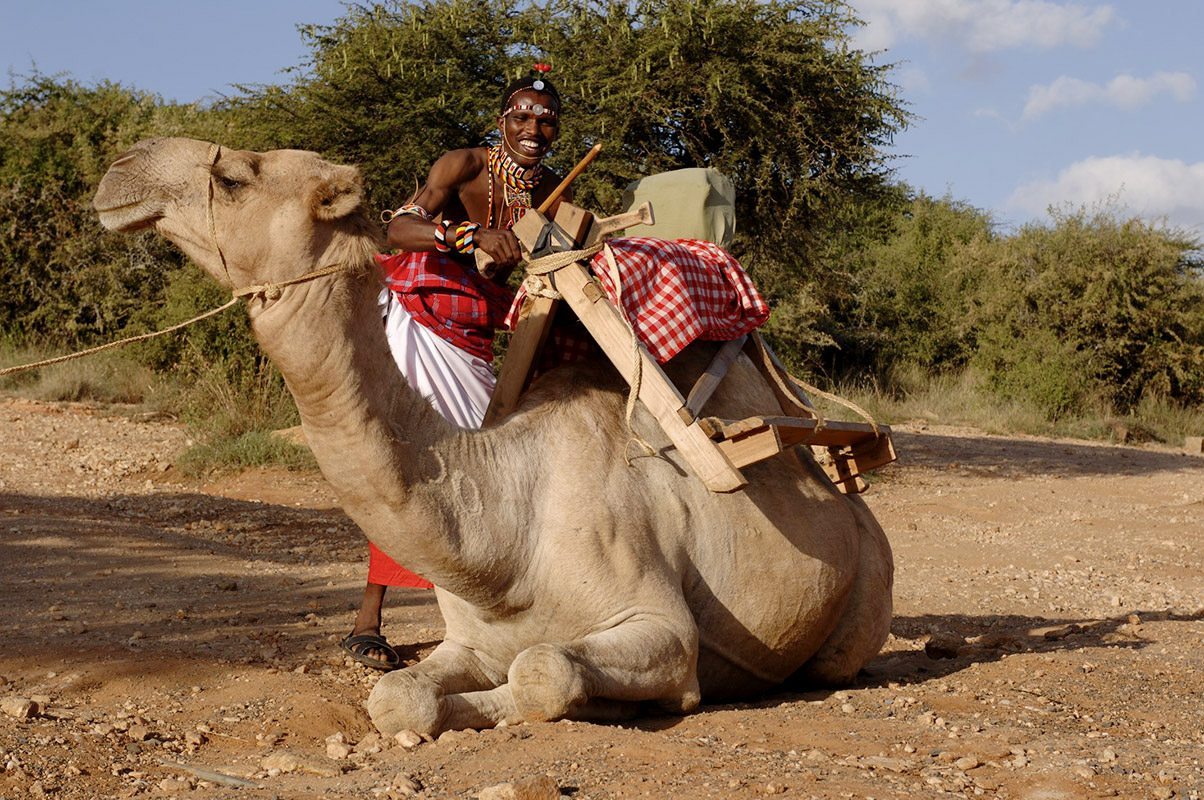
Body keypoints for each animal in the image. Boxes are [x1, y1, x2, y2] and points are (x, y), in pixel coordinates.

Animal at [93, 137, 893, 737]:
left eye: (233, 176)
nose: (120, 169)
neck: (502, 544)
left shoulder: (662, 625)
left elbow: (542, 671)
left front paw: (617, 703)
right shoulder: (468, 638)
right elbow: (399, 697)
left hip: (864, 597)